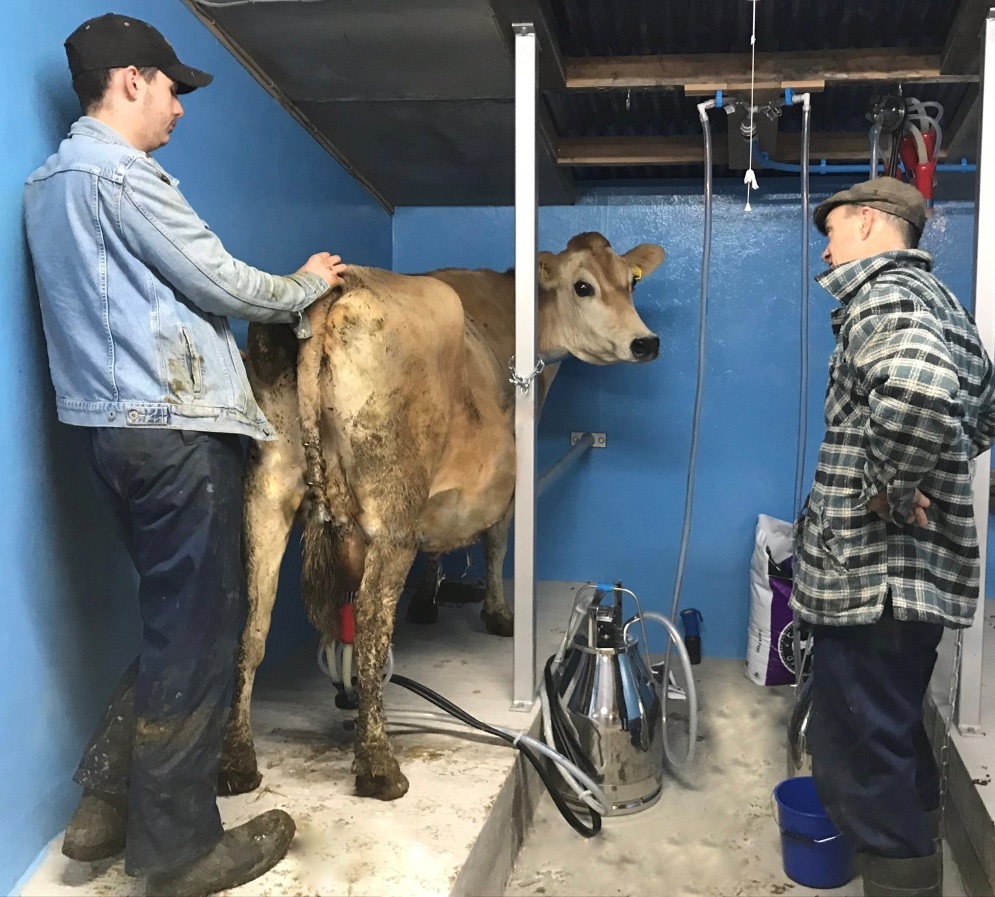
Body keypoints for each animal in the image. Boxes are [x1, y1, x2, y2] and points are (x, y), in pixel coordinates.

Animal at [222, 231, 664, 800]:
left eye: (631, 281)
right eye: (583, 286)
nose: (645, 343)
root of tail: (336, 288)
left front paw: (428, 598)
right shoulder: (508, 481)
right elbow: (497, 541)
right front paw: (498, 614)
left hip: (267, 485)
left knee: (253, 622)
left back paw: (237, 759)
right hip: (393, 500)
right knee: (371, 622)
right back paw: (379, 766)